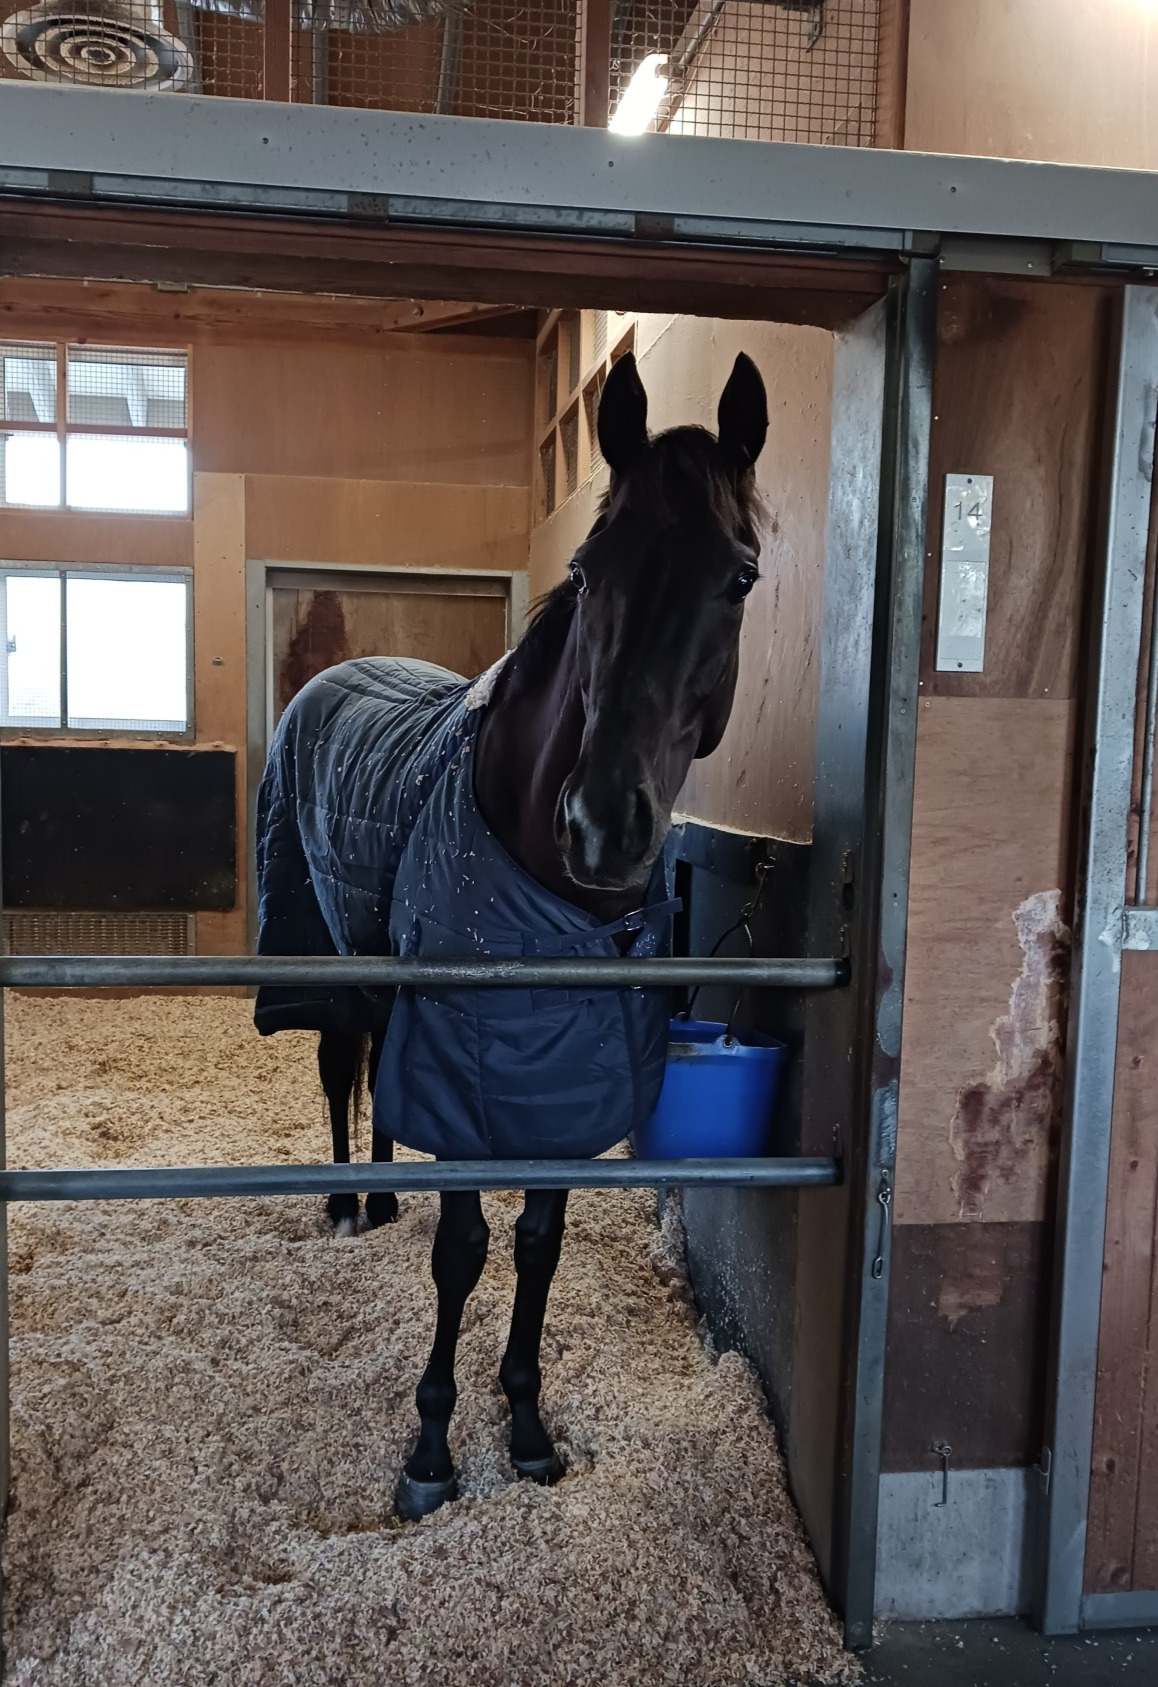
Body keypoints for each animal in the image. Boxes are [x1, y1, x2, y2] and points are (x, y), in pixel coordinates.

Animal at [252, 349, 769, 1520]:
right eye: (586, 568)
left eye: (739, 577)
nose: (604, 825)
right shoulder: (470, 1068)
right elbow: (464, 1249)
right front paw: (431, 1449)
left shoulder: (562, 1075)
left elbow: (537, 1245)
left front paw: (527, 1427)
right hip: (329, 950)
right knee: (337, 1065)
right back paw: (347, 1204)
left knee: (370, 1065)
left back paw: (380, 1196)